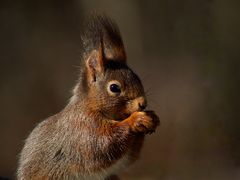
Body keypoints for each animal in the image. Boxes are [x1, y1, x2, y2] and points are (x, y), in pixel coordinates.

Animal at [16, 14, 159, 180]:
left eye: (138, 78)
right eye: (114, 88)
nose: (143, 103)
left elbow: (128, 158)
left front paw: (152, 118)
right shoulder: (83, 128)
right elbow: (103, 144)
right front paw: (135, 120)